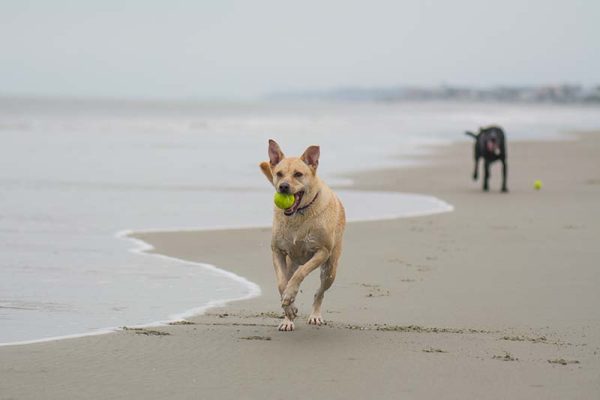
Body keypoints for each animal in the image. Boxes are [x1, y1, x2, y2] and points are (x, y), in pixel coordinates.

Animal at [258, 140, 346, 332]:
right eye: (279, 174)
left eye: (298, 174)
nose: (283, 186)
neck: (298, 215)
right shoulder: (277, 251)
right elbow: (282, 283)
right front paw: (289, 308)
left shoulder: (322, 251)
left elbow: (301, 273)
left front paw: (291, 296)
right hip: (291, 262)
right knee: (289, 276)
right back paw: (287, 318)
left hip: (330, 269)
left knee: (319, 291)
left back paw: (315, 316)